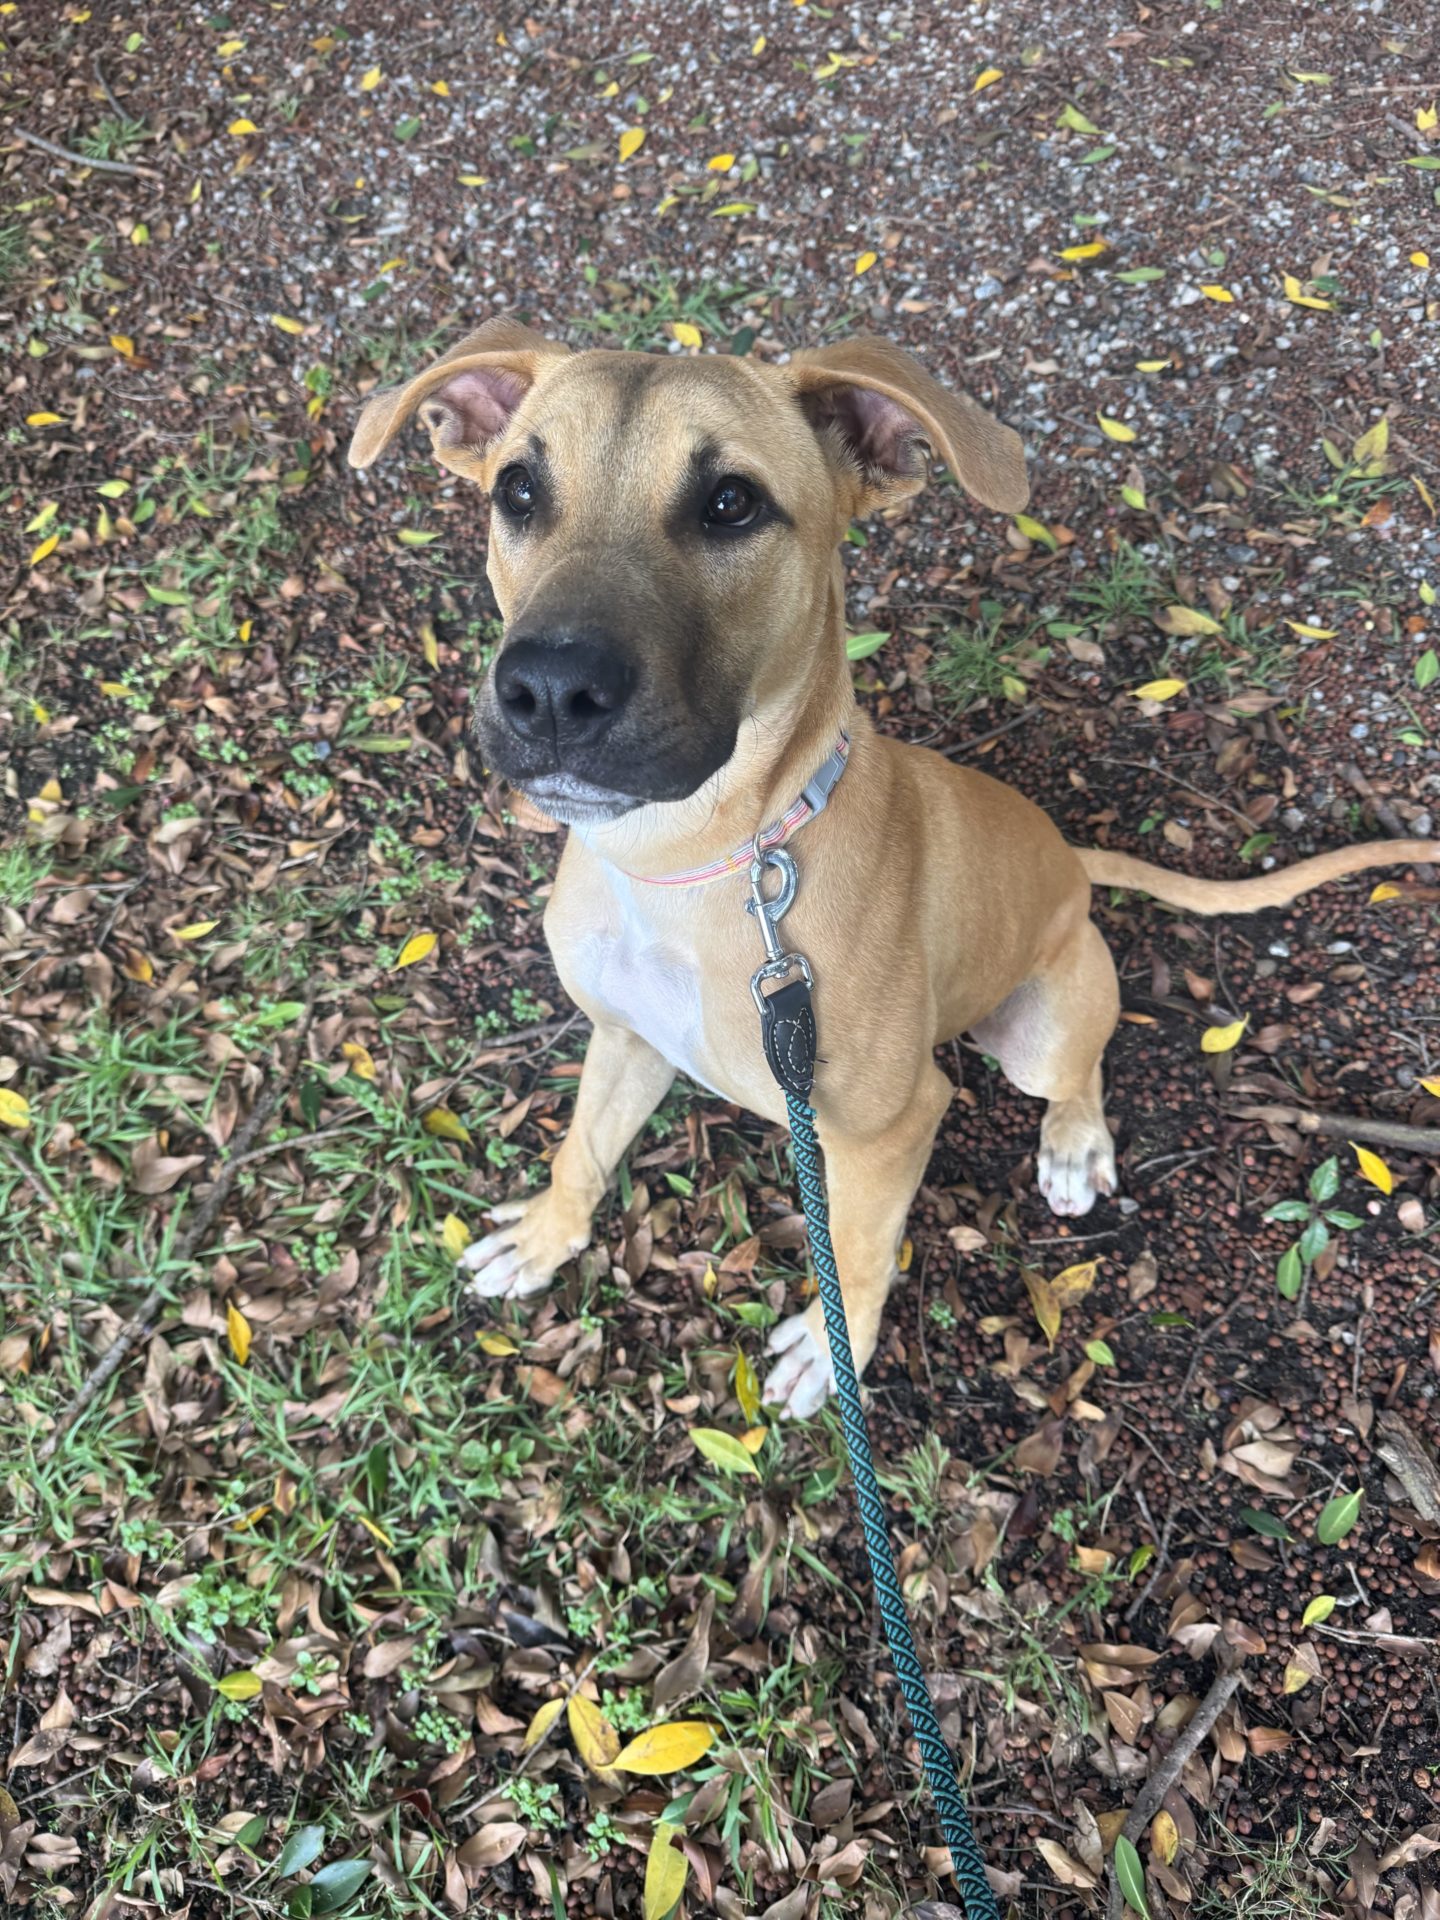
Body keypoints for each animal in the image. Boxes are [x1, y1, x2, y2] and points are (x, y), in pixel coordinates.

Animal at [350, 319, 1436, 1418]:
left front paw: (835, 1352)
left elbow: (861, 1253)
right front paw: (544, 1236)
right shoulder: (625, 1039)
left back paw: (1073, 1143)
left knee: (1081, 1066)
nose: (548, 689)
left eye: (731, 503)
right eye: (518, 491)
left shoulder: (889, 1132)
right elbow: (582, 1152)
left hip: (1041, 1029)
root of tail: (1069, 858)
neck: (705, 862)